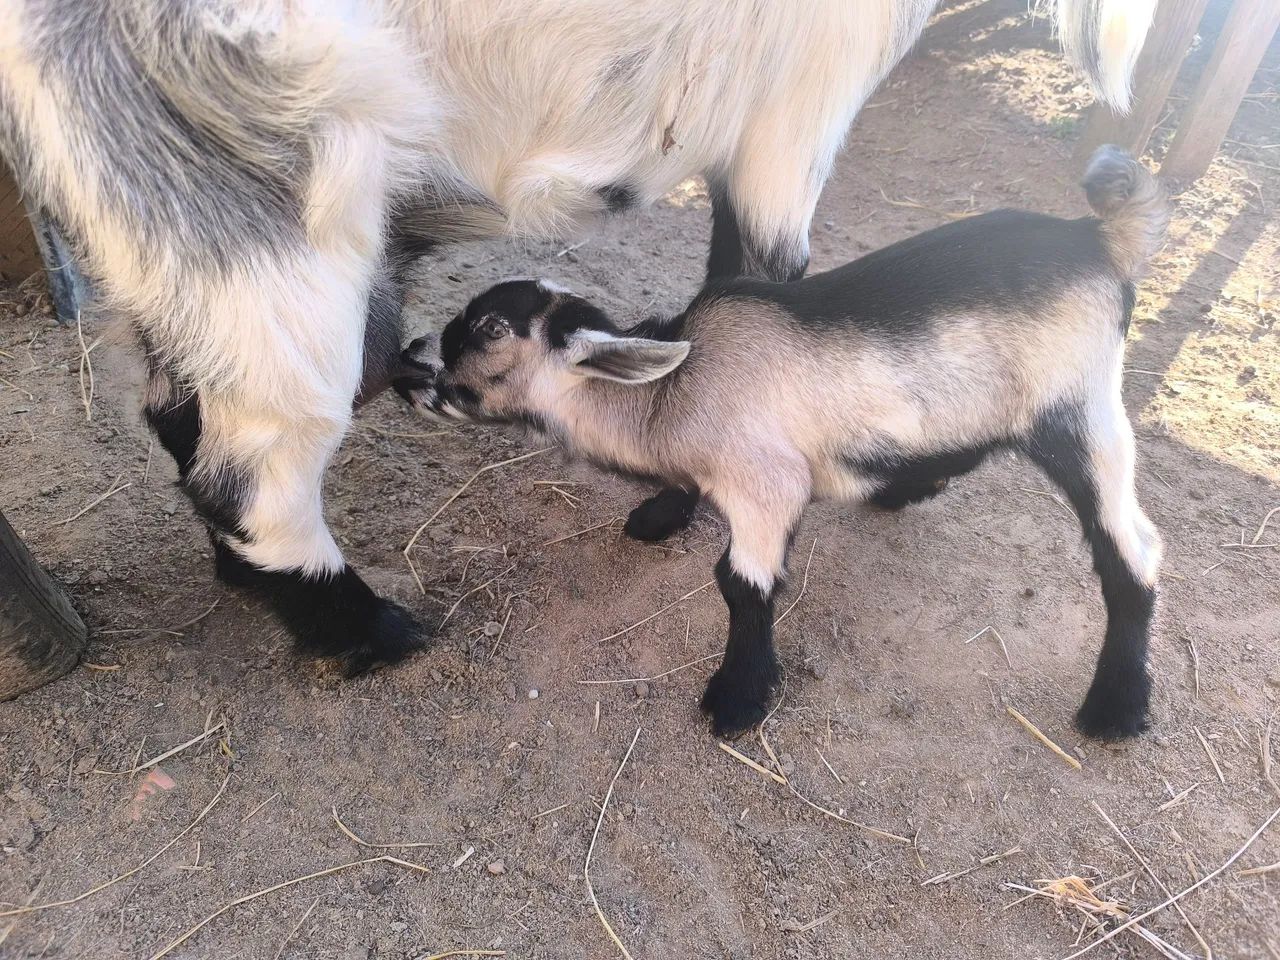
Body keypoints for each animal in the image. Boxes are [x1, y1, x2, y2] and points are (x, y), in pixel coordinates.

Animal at [0, 0, 1154, 676]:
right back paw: (369, 633)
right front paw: (683, 495)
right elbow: (751, 282)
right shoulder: (791, 107)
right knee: (255, 473)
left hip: (148, 221)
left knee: (179, 418)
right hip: (250, 188)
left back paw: (249, 585)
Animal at [395, 146, 1169, 738]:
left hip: (1082, 414)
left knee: (1132, 548)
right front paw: (661, 513)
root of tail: (1099, 237)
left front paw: (738, 699)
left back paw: (1116, 706)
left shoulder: (767, 484)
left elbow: (741, 584)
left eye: (492, 328)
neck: (671, 396)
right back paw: (907, 483)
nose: (407, 358)